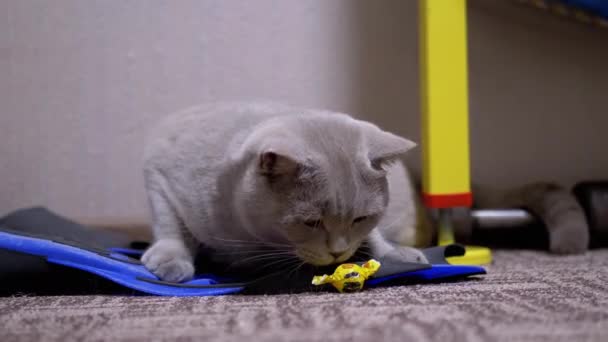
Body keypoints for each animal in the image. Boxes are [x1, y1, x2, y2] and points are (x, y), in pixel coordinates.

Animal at [141, 103, 430, 282]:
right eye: (312, 222)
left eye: (360, 219)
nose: (338, 252)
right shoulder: (159, 172)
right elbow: (170, 224)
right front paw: (170, 261)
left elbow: (373, 236)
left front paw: (395, 254)